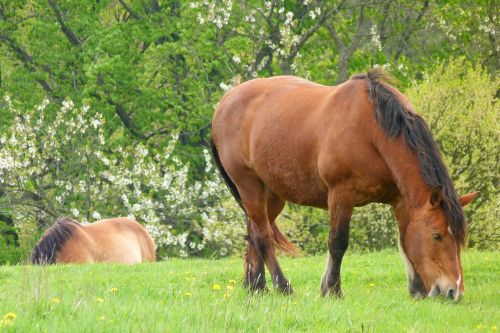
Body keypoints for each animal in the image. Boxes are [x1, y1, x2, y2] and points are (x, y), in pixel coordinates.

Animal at [210, 69, 476, 298]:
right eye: (437, 236)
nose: (454, 291)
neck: (372, 131)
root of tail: (226, 101)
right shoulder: (341, 194)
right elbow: (338, 243)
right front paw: (332, 289)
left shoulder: (401, 199)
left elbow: (404, 239)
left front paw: (417, 289)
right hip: (249, 185)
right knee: (263, 236)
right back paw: (283, 287)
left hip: (273, 194)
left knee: (254, 232)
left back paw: (256, 287)